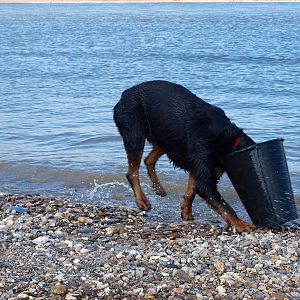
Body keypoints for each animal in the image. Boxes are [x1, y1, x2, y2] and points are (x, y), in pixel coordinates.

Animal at [113, 80, 256, 232]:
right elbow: (224, 205)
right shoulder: (204, 175)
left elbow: (191, 191)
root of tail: (125, 93)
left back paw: (159, 188)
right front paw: (241, 224)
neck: (226, 140)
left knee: (148, 160)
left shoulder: (200, 167)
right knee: (132, 172)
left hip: (165, 137)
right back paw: (141, 200)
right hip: (135, 135)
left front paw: (186, 212)